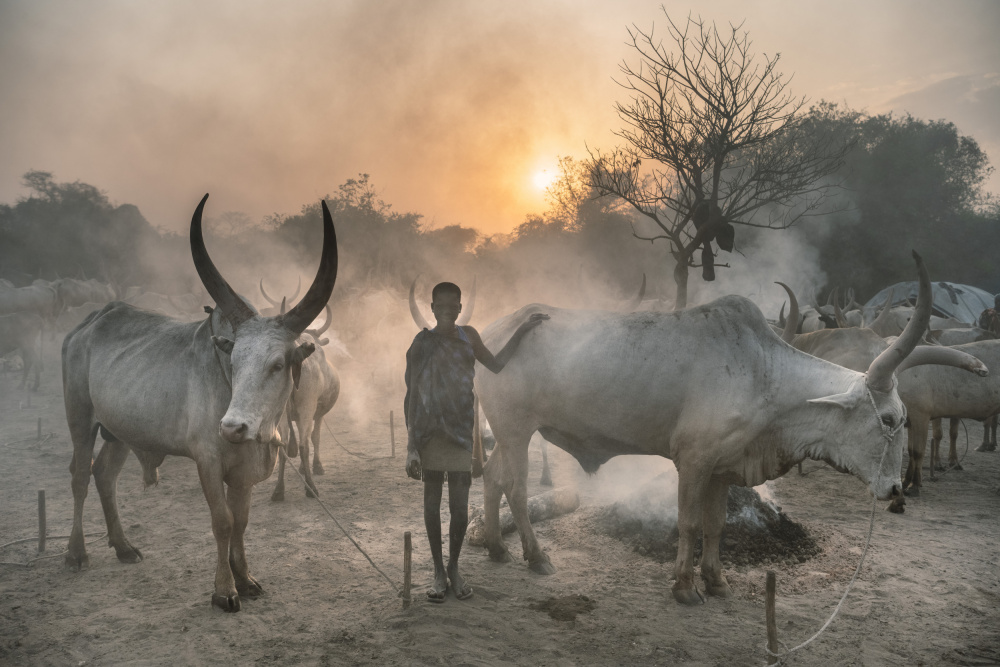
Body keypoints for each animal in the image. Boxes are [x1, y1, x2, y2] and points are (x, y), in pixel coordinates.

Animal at [62, 193, 338, 612]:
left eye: (278, 364)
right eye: (233, 359)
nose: (233, 427)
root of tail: (86, 324)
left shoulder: (243, 471)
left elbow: (241, 521)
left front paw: (246, 579)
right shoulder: (207, 459)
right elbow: (222, 522)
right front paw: (224, 590)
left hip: (120, 433)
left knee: (104, 475)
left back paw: (124, 547)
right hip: (80, 418)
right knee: (79, 476)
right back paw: (76, 553)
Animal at [474, 254, 976, 604]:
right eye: (890, 419)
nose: (894, 489)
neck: (766, 373)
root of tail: (492, 332)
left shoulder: (722, 468)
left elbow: (716, 526)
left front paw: (716, 581)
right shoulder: (693, 462)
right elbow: (689, 523)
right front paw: (684, 586)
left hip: (506, 433)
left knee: (492, 476)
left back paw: (497, 548)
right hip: (516, 430)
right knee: (516, 487)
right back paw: (536, 556)